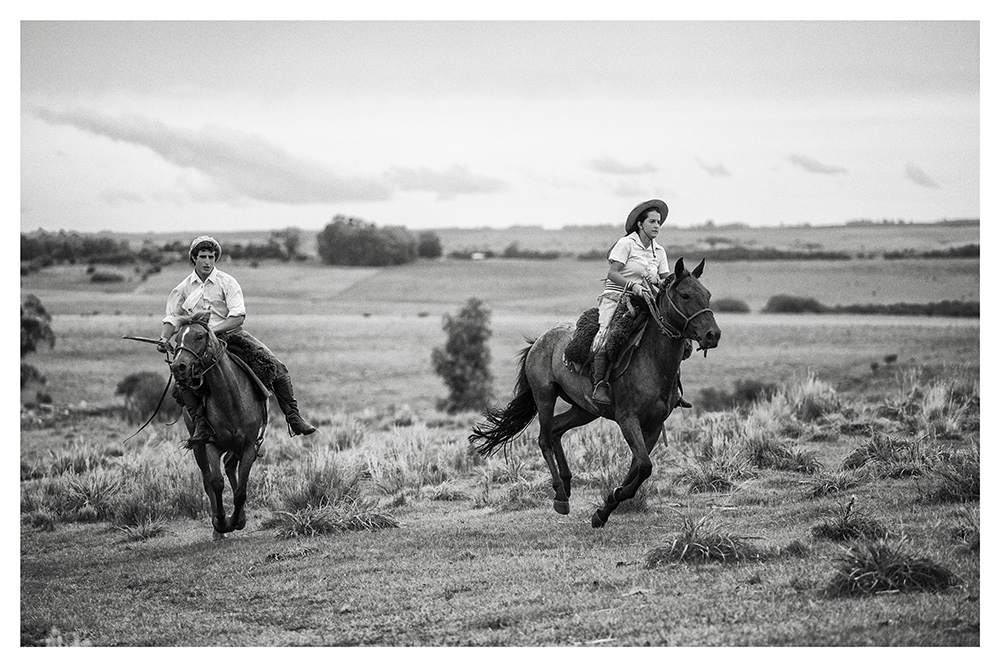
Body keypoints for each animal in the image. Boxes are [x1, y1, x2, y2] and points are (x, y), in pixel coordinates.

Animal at [169, 312, 270, 536]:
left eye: (199, 336)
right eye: (176, 338)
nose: (178, 367)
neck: (230, 399)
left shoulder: (248, 446)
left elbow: (241, 490)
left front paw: (236, 521)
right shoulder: (211, 445)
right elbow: (216, 483)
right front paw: (222, 522)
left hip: (237, 446)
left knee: (231, 466)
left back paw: (239, 518)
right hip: (199, 447)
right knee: (208, 478)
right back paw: (219, 529)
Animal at [468, 258, 720, 528]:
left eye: (707, 294)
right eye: (685, 295)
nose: (713, 334)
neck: (653, 361)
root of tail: (539, 340)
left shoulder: (654, 425)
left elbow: (638, 467)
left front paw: (604, 509)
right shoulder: (628, 419)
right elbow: (644, 466)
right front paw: (610, 501)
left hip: (584, 409)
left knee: (556, 430)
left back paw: (566, 483)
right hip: (545, 396)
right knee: (544, 438)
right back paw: (560, 496)